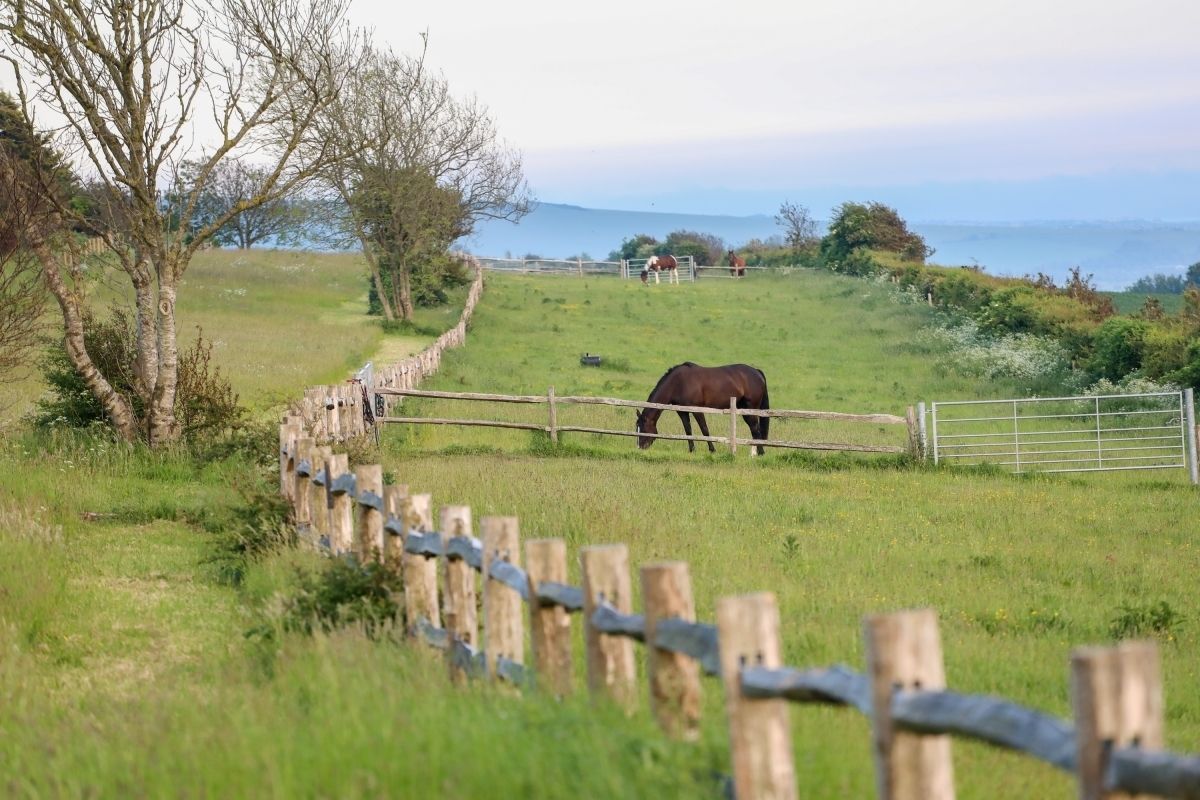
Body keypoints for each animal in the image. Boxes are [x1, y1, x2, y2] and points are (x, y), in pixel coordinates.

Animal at [635, 362, 770, 455]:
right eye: (637, 428)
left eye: (643, 428)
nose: (640, 447)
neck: (678, 383)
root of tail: (757, 372)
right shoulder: (682, 411)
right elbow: (688, 430)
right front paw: (692, 450)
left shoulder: (697, 410)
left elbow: (704, 429)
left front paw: (712, 450)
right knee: (754, 429)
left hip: (751, 408)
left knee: (755, 429)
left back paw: (760, 453)